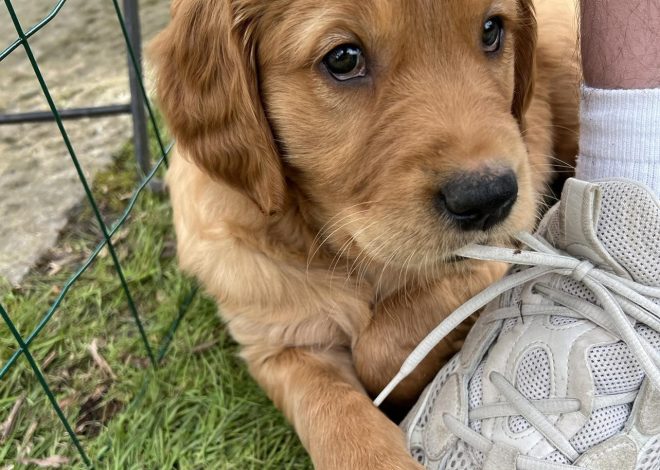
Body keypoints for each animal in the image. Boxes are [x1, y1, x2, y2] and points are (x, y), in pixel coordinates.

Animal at [150, 0, 576, 466]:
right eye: (343, 58)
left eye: (490, 30)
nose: (487, 199)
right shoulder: (280, 340)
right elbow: (335, 418)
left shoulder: (499, 256)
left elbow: (380, 346)